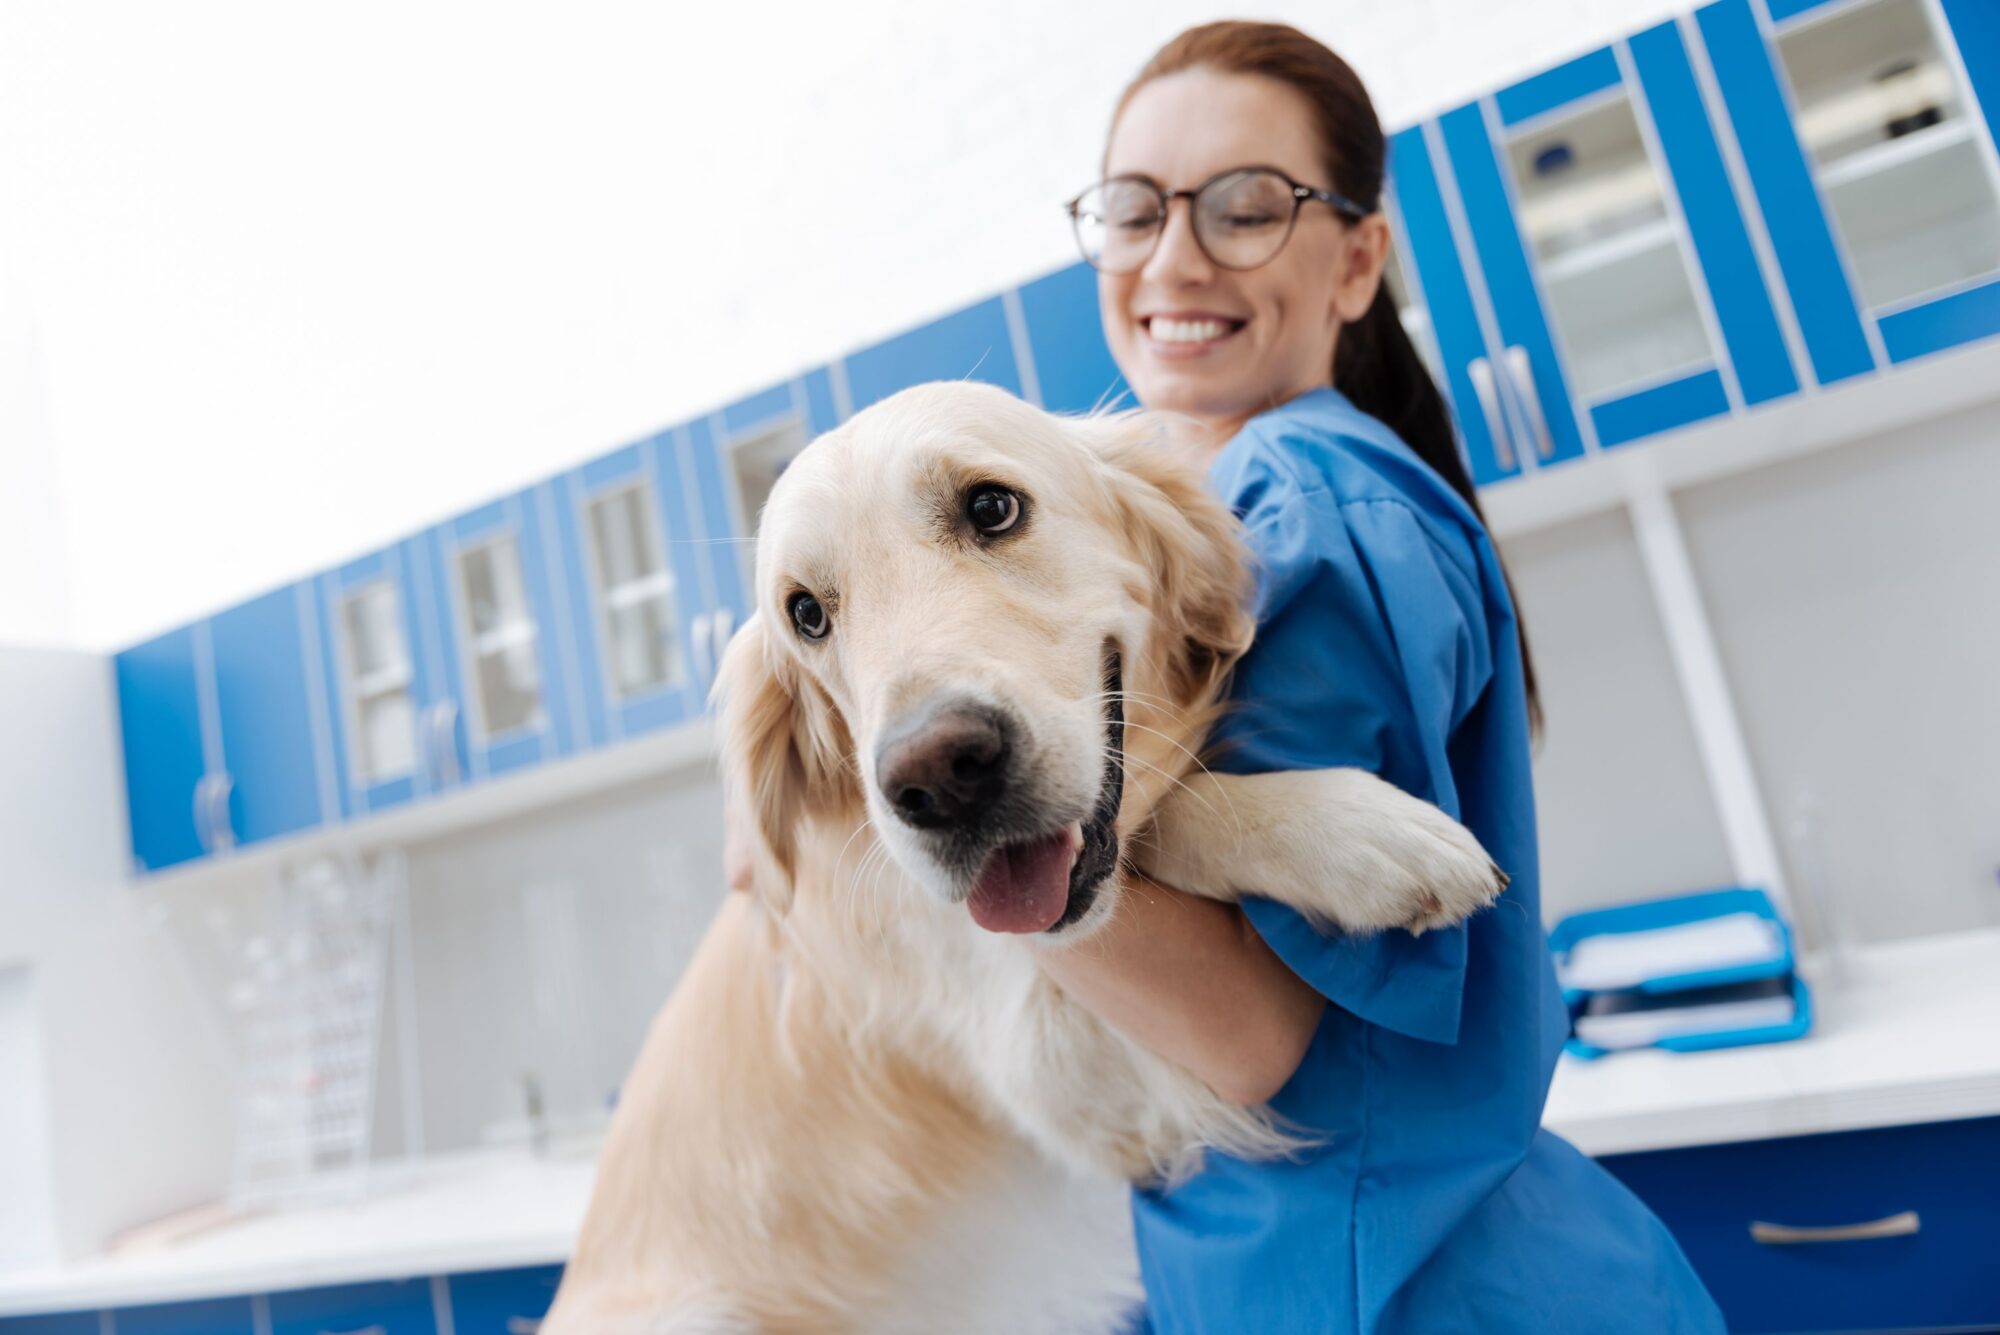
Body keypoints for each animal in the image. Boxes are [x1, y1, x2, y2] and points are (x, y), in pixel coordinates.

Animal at [540, 379, 1504, 1327]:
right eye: (806, 612)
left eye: (992, 507)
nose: (936, 776)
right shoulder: (1057, 1065)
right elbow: (1172, 810)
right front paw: (1356, 835)